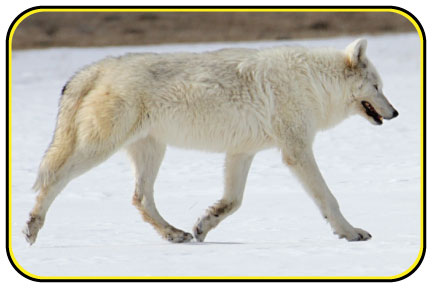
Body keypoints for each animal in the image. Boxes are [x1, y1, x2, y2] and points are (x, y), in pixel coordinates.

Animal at [24, 38, 398, 244]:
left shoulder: (242, 153)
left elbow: (232, 202)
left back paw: (175, 234)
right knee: (54, 179)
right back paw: (31, 227)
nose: (395, 113)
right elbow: (328, 199)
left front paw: (203, 225)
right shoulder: (296, 151)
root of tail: (97, 67)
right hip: (100, 149)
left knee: (140, 198)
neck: (314, 82)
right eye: (377, 87)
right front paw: (351, 233)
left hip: (151, 151)